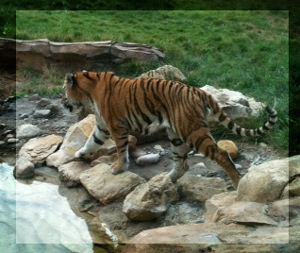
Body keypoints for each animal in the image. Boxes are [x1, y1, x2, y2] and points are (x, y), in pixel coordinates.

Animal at [62, 70, 278, 189]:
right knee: (182, 164)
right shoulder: (102, 126)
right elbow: (91, 141)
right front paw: (79, 154)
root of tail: (198, 90)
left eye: (64, 91)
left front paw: (118, 168)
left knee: (222, 154)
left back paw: (237, 185)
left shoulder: (116, 127)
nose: (63, 103)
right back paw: (166, 179)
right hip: (176, 134)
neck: (89, 93)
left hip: (192, 131)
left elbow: (121, 150)